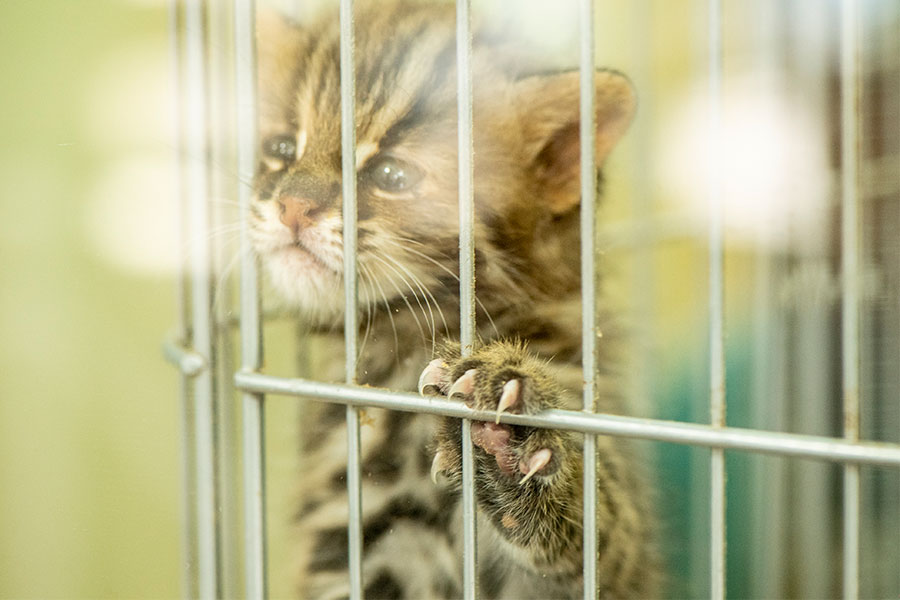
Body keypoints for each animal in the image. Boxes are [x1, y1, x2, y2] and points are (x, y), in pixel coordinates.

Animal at [250, 1, 656, 600]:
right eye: (279, 150)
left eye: (392, 174)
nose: (292, 206)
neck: (403, 351)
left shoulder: (622, 567)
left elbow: (601, 531)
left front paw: (508, 442)